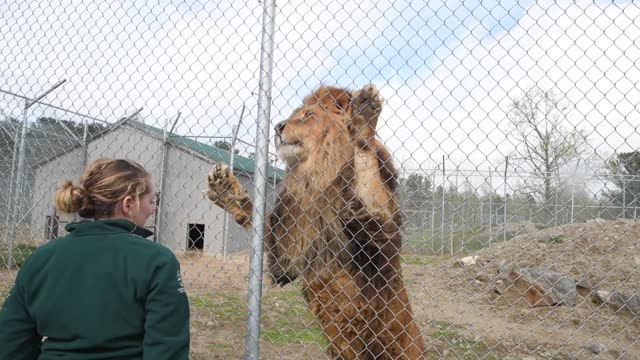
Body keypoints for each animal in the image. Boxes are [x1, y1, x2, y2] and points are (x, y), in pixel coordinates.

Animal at [206, 84, 424, 358]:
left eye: (307, 115)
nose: (277, 126)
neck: (316, 177)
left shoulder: (380, 238)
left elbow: (367, 168)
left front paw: (363, 116)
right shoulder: (285, 250)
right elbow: (255, 216)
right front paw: (226, 190)